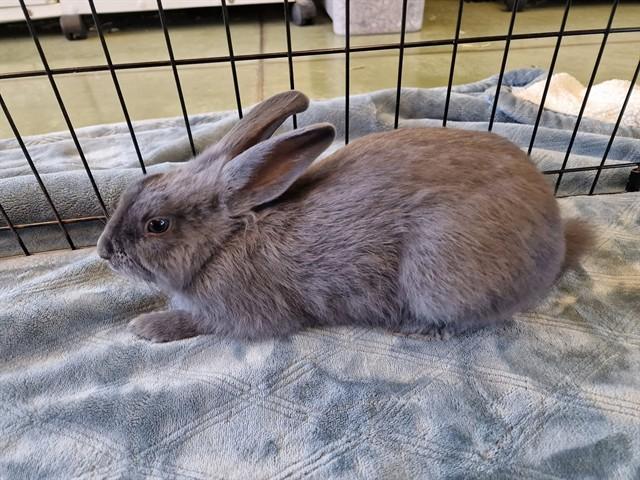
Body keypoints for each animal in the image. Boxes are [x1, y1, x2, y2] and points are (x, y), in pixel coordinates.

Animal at [97, 90, 593, 343]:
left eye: (157, 225)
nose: (103, 251)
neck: (226, 239)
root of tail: (557, 244)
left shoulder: (244, 314)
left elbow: (203, 323)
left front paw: (145, 327)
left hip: (440, 276)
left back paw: (412, 328)